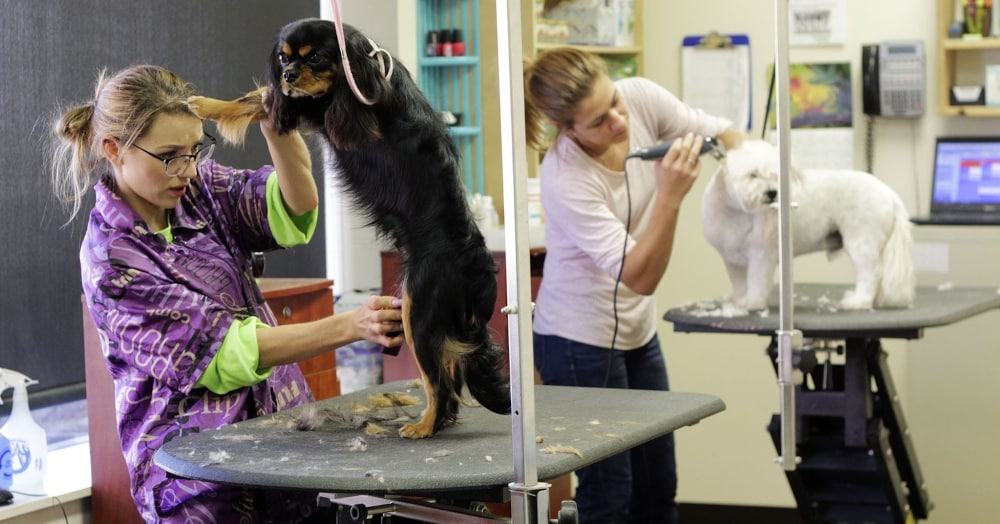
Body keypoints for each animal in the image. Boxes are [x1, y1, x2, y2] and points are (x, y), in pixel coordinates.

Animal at [190, 18, 512, 438]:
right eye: (284, 59)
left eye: (316, 58)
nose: (289, 76)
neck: (363, 66)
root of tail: (477, 268)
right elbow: (260, 96)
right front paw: (208, 102)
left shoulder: (325, 108)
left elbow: (264, 99)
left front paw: (204, 104)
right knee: (450, 374)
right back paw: (436, 421)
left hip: (418, 311)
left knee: (439, 381)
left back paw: (424, 426)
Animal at [704, 139, 916, 312]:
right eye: (753, 174)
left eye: (776, 176)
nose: (772, 192)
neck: (737, 212)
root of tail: (889, 193)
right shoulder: (732, 259)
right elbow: (740, 284)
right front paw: (739, 300)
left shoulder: (761, 253)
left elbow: (757, 280)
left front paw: (753, 303)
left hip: (861, 241)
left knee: (871, 274)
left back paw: (859, 302)